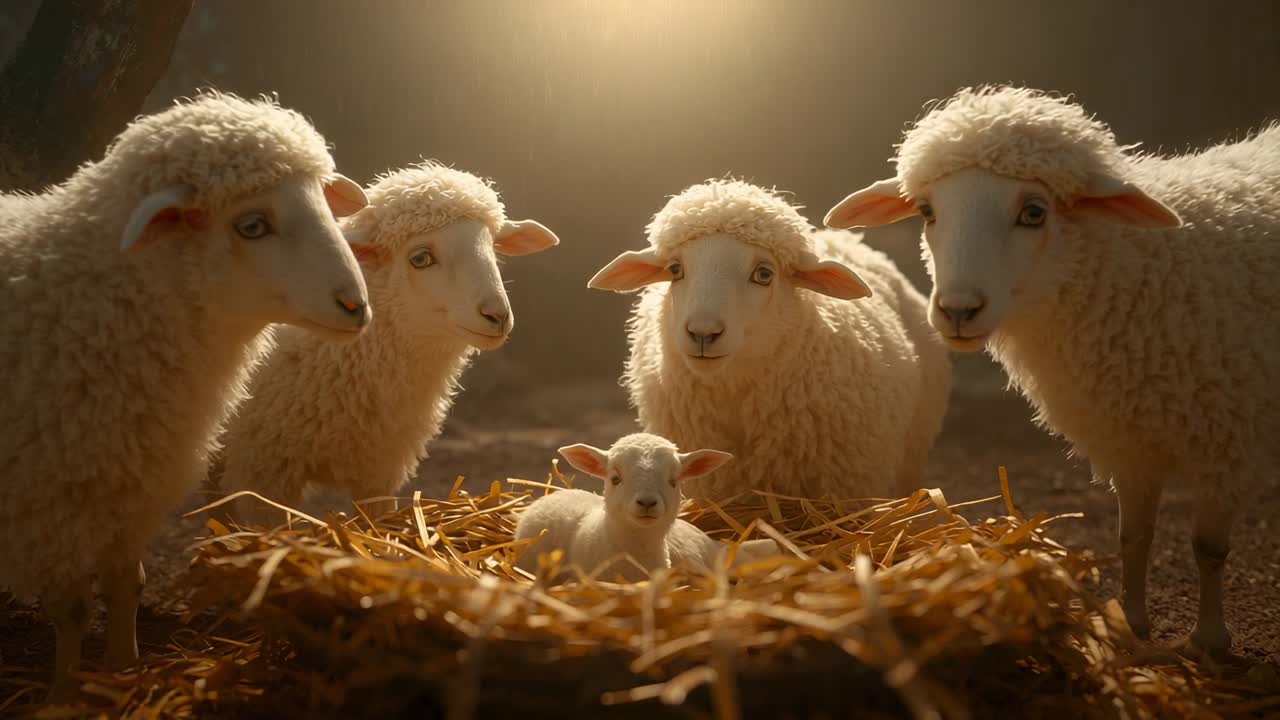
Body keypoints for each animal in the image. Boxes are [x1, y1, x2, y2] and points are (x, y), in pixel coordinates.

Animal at [0, 91, 371, 698]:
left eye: (322, 199)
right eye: (252, 225)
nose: (356, 306)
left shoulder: (133, 486)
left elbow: (126, 583)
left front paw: (123, 669)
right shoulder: (52, 506)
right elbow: (73, 608)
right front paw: (63, 694)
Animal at [823, 85, 1280, 659]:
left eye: (1034, 212)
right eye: (927, 210)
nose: (957, 311)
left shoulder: (1227, 439)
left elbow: (1209, 548)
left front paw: (1210, 640)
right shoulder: (1128, 437)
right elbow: (1134, 538)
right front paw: (1131, 623)